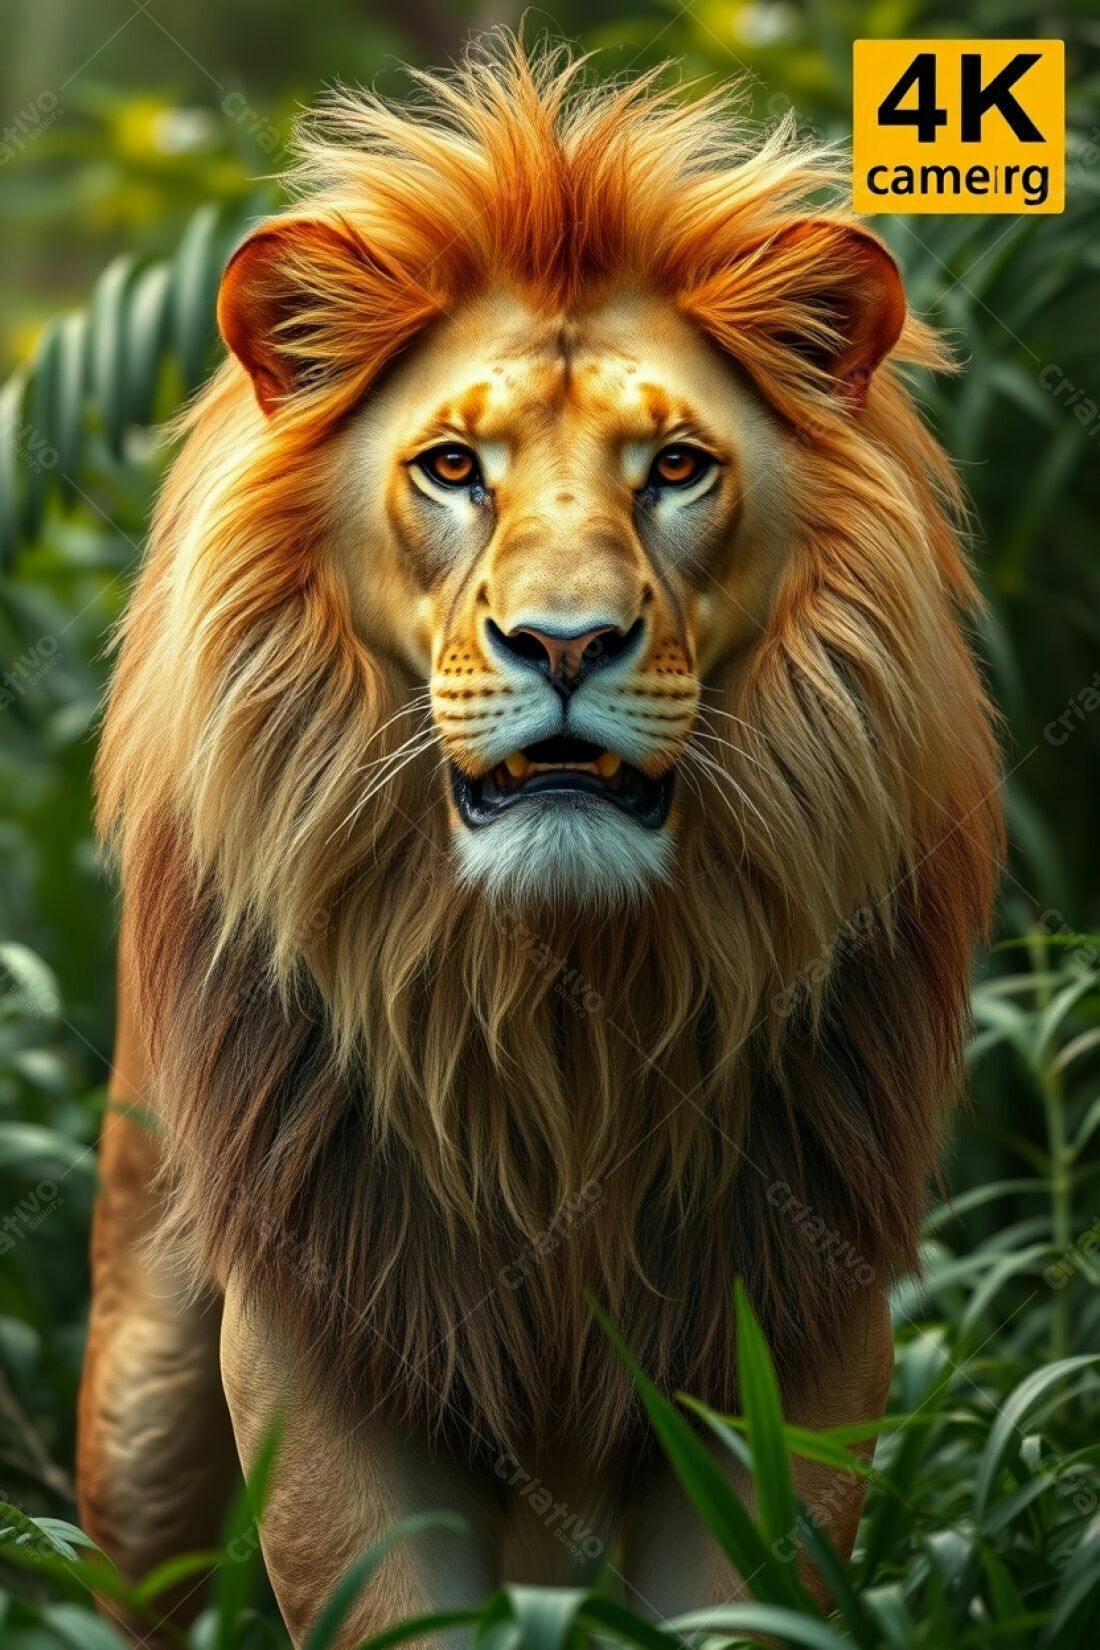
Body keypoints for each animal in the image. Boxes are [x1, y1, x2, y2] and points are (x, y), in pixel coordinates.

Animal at [77, 37, 1001, 1648]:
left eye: (677, 468)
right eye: (453, 467)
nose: (564, 642)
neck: (552, 1008)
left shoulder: (793, 1324)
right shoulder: (327, 1332)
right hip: (145, 1395)